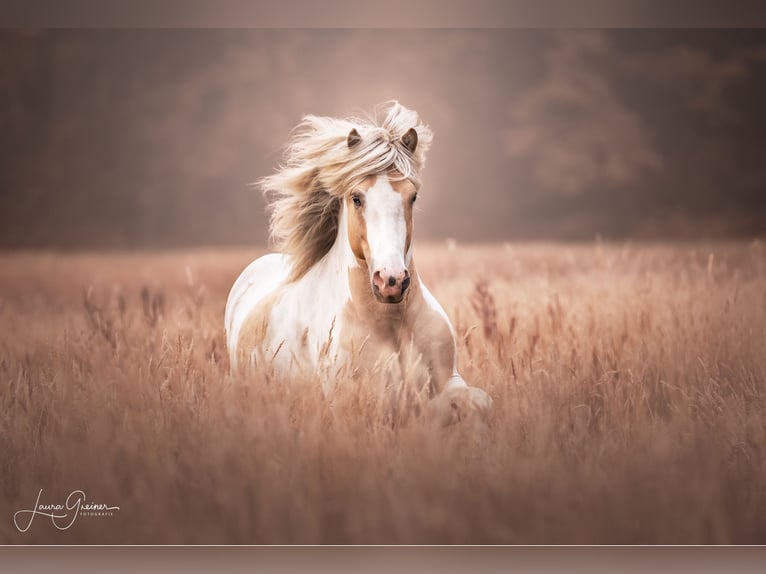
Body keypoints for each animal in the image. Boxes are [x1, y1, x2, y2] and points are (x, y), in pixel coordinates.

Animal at [224, 102, 491, 425]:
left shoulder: (447, 382)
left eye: (413, 197)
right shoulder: (364, 404)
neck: (392, 325)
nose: (391, 281)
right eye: (356, 198)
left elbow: (479, 401)